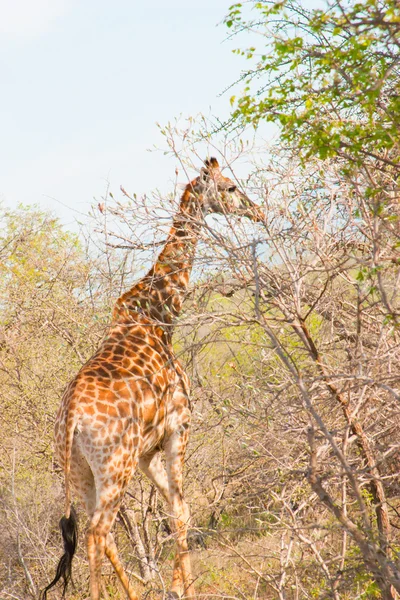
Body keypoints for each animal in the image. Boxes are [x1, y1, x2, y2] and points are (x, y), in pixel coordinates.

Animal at [42, 157, 264, 596]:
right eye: (230, 187)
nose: (258, 211)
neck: (160, 315)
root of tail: (70, 421)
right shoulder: (180, 425)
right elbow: (180, 510)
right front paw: (185, 588)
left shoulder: (148, 451)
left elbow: (180, 507)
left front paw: (178, 586)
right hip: (115, 466)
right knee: (97, 532)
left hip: (80, 471)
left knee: (104, 534)